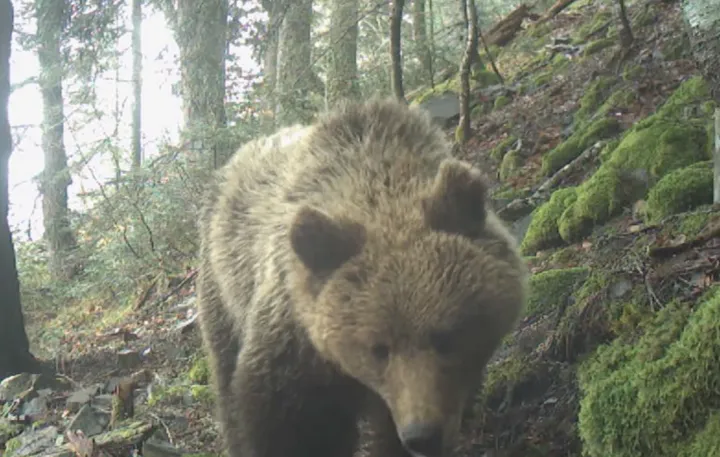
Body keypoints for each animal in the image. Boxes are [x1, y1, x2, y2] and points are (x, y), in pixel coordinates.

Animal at [197, 97, 528, 456]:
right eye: (378, 348)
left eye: (446, 336)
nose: (422, 434)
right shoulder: (293, 345)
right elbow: (286, 424)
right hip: (223, 288)